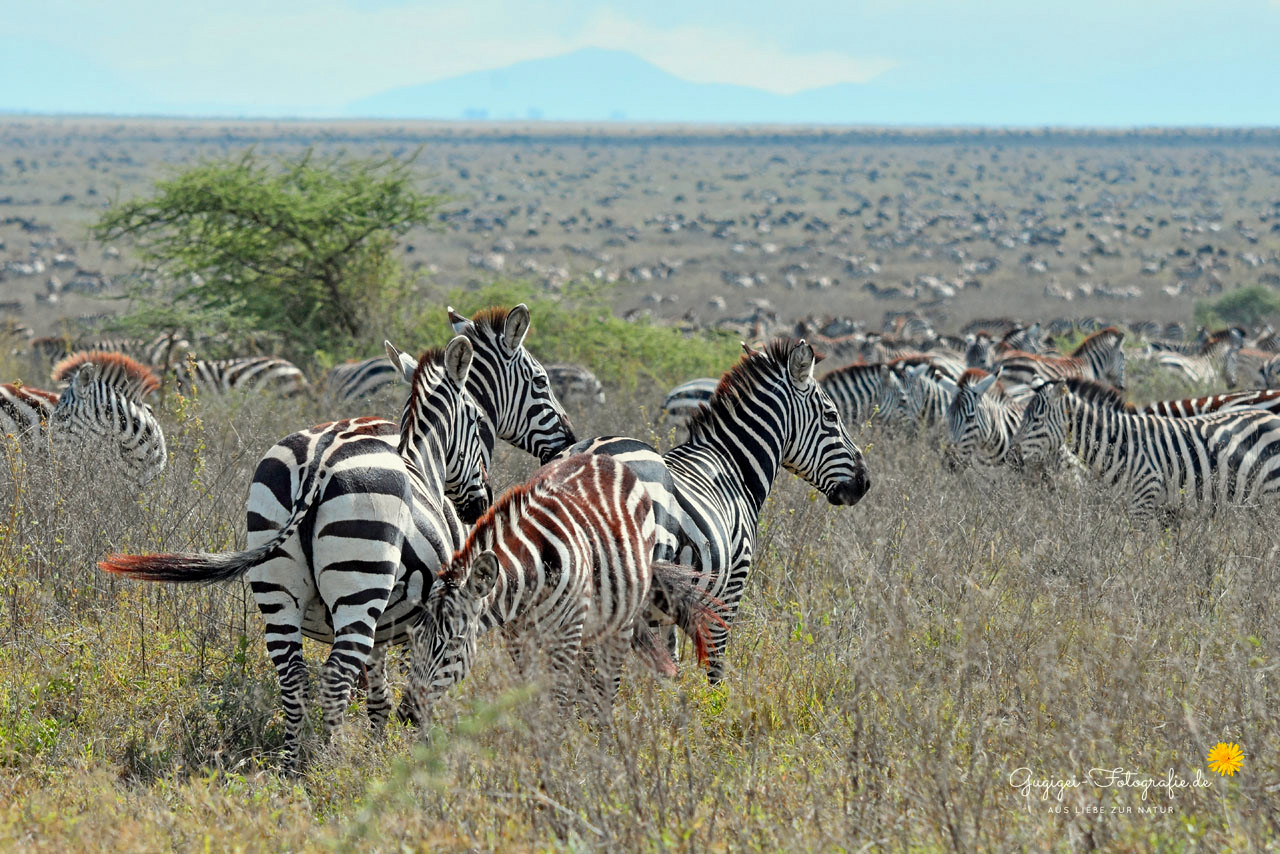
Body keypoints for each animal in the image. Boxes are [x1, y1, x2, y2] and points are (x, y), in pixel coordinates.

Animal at [98, 335, 488, 768]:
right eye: (477, 420)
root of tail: (318, 461)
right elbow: (424, 682)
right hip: (359, 585)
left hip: (277, 582)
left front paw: (379, 746)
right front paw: (416, 750)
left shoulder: (388, 625)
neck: (423, 460)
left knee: (293, 674)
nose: (477, 506)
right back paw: (329, 766)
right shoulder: (433, 618)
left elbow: (380, 694)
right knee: (335, 676)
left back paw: (290, 764)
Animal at [560, 338, 870, 681]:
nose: (864, 482)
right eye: (831, 415)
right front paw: (714, 696)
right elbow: (715, 664)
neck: (733, 465)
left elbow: (669, 663)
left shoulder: (671, 604)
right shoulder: (732, 586)